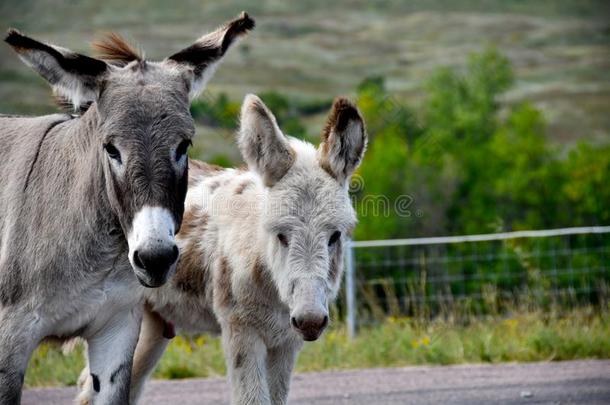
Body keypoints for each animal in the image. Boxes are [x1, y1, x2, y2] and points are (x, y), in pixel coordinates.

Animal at [79, 93, 366, 402]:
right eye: (280, 235)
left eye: (335, 236)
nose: (310, 321)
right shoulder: (241, 330)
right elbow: (252, 399)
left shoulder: (285, 341)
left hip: (152, 323)